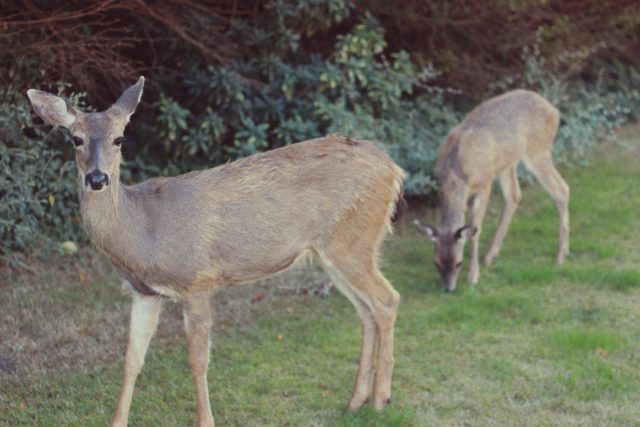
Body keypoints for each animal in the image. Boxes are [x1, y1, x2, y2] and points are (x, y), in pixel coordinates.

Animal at [28, 77, 404, 427]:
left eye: (119, 139)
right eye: (75, 139)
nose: (97, 179)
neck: (143, 231)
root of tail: (393, 170)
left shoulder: (197, 281)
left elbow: (198, 360)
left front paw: (205, 420)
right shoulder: (144, 293)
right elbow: (132, 358)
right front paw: (117, 421)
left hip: (353, 241)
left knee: (387, 299)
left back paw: (381, 399)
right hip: (334, 252)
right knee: (366, 310)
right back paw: (356, 400)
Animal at [416, 88, 568, 292]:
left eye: (458, 263)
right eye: (436, 263)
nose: (448, 289)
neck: (456, 172)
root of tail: (554, 111)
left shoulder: (484, 183)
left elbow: (475, 229)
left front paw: (473, 276)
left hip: (538, 151)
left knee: (561, 190)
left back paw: (561, 255)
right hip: (507, 163)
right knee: (514, 195)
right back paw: (490, 255)